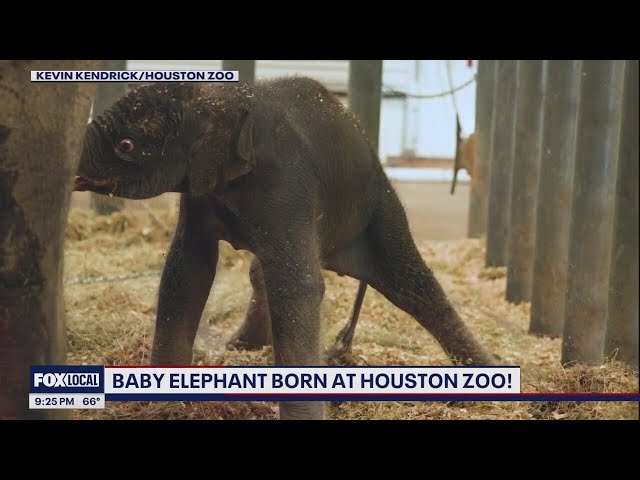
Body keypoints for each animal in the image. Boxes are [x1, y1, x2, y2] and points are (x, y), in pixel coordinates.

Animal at [75, 78, 496, 420]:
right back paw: (243, 346)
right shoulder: (201, 192)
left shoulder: (286, 184)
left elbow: (298, 287)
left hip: (377, 203)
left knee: (414, 285)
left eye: (126, 145)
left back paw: (488, 384)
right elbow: (188, 270)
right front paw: (161, 404)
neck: (219, 99)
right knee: (263, 272)